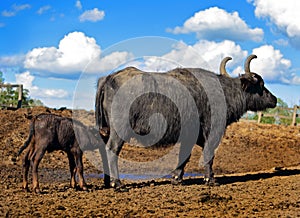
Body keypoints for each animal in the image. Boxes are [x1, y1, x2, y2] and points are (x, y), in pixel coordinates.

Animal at [95, 54, 276, 187]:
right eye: (260, 85)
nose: (274, 99)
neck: (224, 92)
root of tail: (110, 77)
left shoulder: (189, 136)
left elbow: (184, 156)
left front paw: (177, 178)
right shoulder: (212, 132)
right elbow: (209, 155)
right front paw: (210, 180)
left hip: (106, 129)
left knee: (104, 150)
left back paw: (107, 182)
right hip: (120, 130)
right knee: (112, 149)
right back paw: (117, 183)